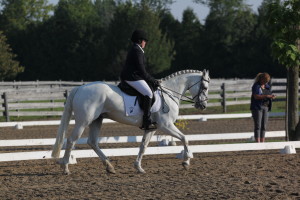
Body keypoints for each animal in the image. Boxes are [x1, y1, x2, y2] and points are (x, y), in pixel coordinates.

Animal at [51, 69, 210, 174]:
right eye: (205, 87)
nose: (202, 106)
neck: (170, 92)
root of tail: (79, 88)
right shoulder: (166, 125)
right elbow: (185, 138)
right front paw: (186, 162)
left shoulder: (151, 128)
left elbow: (143, 146)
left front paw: (138, 167)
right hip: (84, 121)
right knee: (71, 140)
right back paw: (65, 168)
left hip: (97, 120)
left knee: (92, 142)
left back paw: (109, 167)